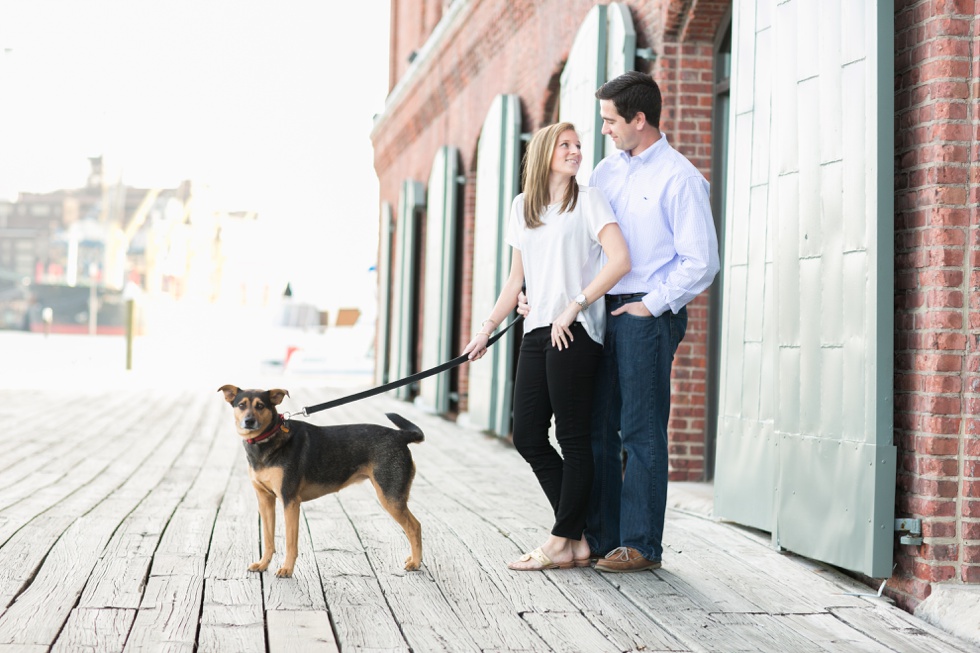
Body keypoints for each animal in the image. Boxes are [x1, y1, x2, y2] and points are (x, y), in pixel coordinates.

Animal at [220, 388, 424, 576]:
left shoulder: (290, 501)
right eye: (241, 405)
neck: (267, 440)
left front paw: (287, 569)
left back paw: (416, 562)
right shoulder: (265, 501)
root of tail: (399, 435)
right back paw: (413, 558)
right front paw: (263, 564)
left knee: (415, 526)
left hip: (390, 497)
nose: (249, 421)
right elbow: (269, 539)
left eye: (260, 406)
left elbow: (290, 543)